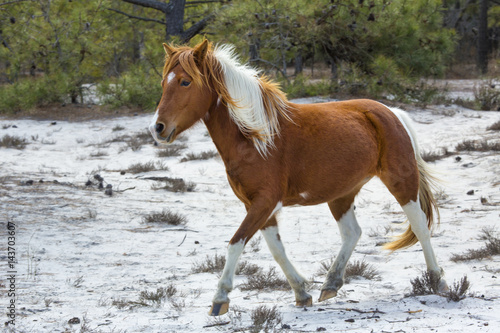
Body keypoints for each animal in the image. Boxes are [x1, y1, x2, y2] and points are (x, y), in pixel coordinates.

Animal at [148, 40, 450, 316]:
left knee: (420, 227)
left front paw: (220, 297)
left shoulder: (265, 202)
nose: (157, 128)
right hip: (341, 194)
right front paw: (302, 292)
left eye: (185, 82)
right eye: (164, 82)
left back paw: (437, 282)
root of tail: (392, 113)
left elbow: (235, 243)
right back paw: (331, 283)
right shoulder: (257, 205)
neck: (255, 137)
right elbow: (275, 249)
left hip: (401, 183)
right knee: (352, 232)